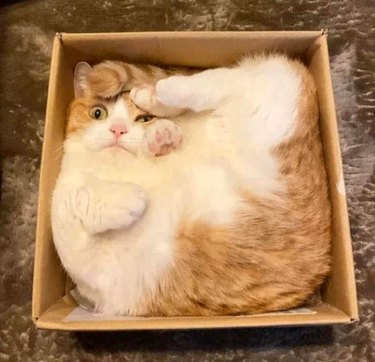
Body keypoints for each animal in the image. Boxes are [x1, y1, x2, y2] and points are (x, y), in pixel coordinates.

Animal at [51, 55, 330, 316]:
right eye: (97, 113)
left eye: (143, 119)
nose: (118, 130)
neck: (119, 172)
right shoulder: (72, 240)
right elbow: (78, 198)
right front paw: (131, 197)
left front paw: (160, 137)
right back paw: (150, 95)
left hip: (265, 100)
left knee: (214, 82)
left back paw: (153, 94)